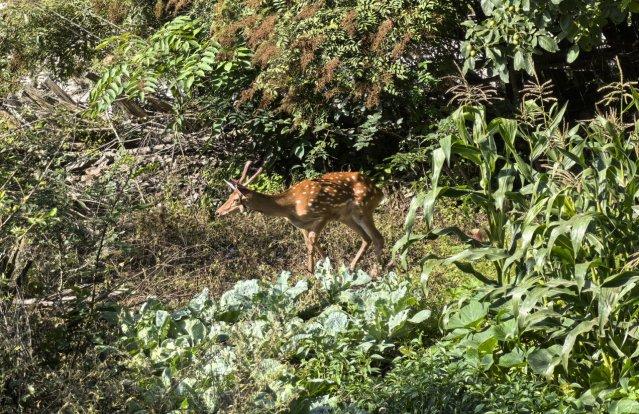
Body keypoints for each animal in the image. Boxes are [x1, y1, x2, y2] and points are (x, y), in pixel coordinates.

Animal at [215, 161, 384, 274]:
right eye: (229, 196)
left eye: (236, 200)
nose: (217, 212)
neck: (289, 207)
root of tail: (379, 192)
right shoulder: (302, 225)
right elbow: (311, 243)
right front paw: (328, 268)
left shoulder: (324, 214)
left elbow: (311, 243)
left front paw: (311, 273)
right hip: (346, 216)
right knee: (366, 238)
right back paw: (352, 268)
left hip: (363, 208)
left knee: (378, 237)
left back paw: (377, 272)